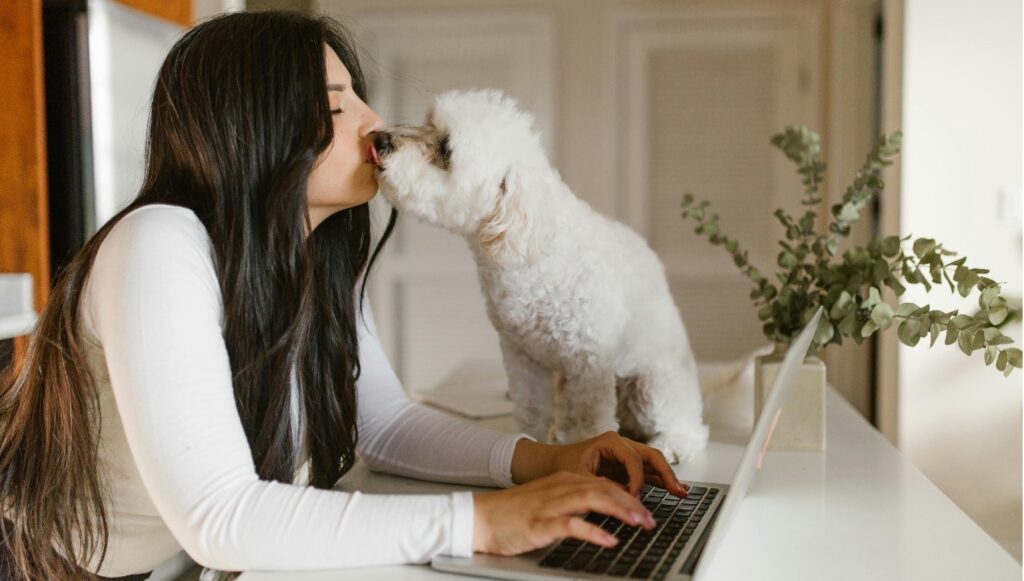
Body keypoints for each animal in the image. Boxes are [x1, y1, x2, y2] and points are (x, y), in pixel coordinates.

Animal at [372, 89, 708, 463]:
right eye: (429, 123)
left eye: (446, 150)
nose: (379, 139)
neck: (532, 253)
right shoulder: (523, 359)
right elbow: (531, 410)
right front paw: (531, 442)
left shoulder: (589, 363)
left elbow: (593, 423)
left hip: (653, 387)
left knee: (689, 427)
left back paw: (673, 443)